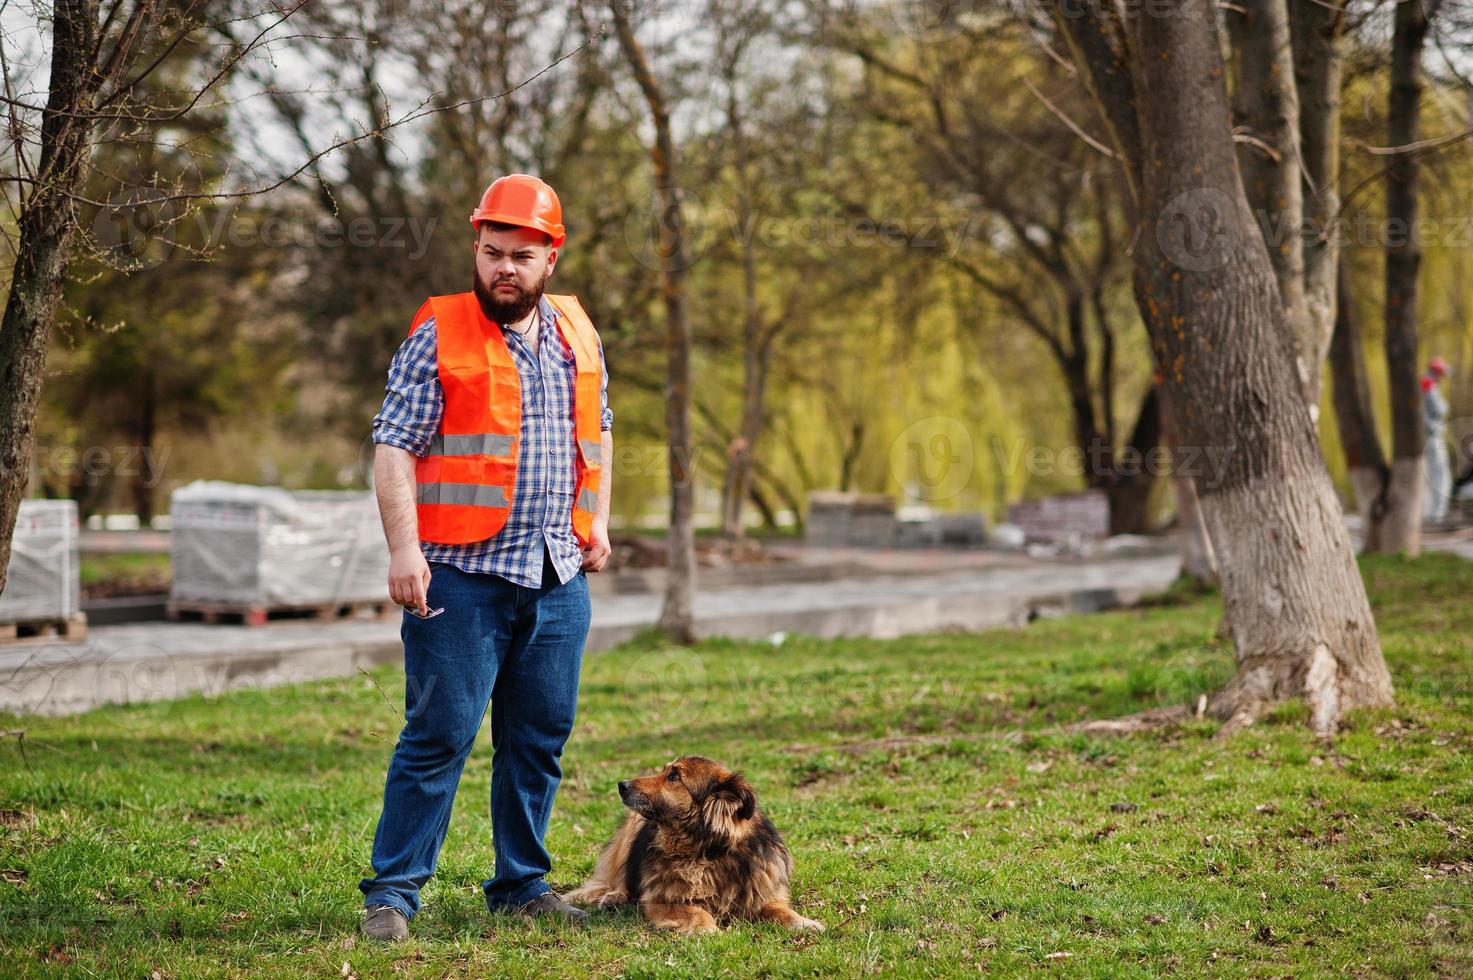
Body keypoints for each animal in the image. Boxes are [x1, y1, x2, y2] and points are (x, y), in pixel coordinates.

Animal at [562, 754, 824, 931]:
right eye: (665, 770)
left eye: (674, 776)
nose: (621, 785)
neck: (710, 852)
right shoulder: (663, 899)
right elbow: (697, 912)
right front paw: (708, 929)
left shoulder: (760, 894)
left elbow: (782, 910)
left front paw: (805, 923)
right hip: (631, 831)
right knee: (617, 880)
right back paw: (613, 897)